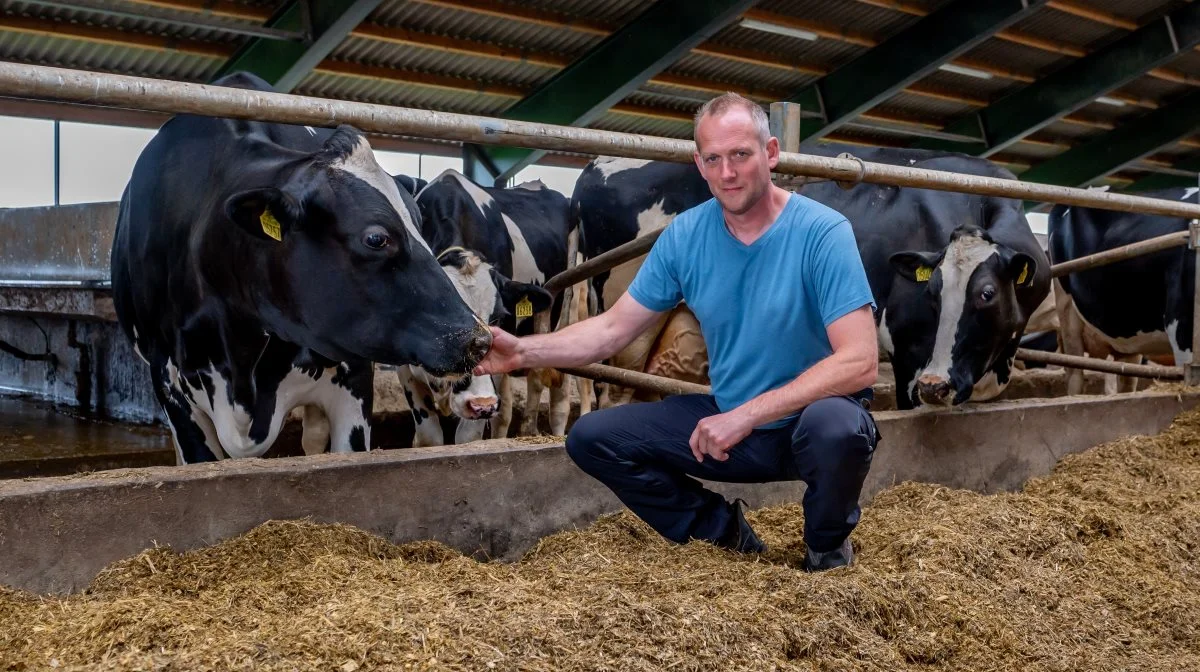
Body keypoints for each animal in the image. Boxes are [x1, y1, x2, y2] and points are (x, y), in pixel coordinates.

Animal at [412, 170, 590, 439]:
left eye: (498, 319)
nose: (481, 404)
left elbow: (468, 438)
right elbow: (428, 438)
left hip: (569, 307)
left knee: (560, 396)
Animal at [571, 145, 1051, 412]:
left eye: (987, 294)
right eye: (930, 291)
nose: (937, 385)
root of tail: (593, 166)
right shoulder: (909, 349)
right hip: (627, 317)